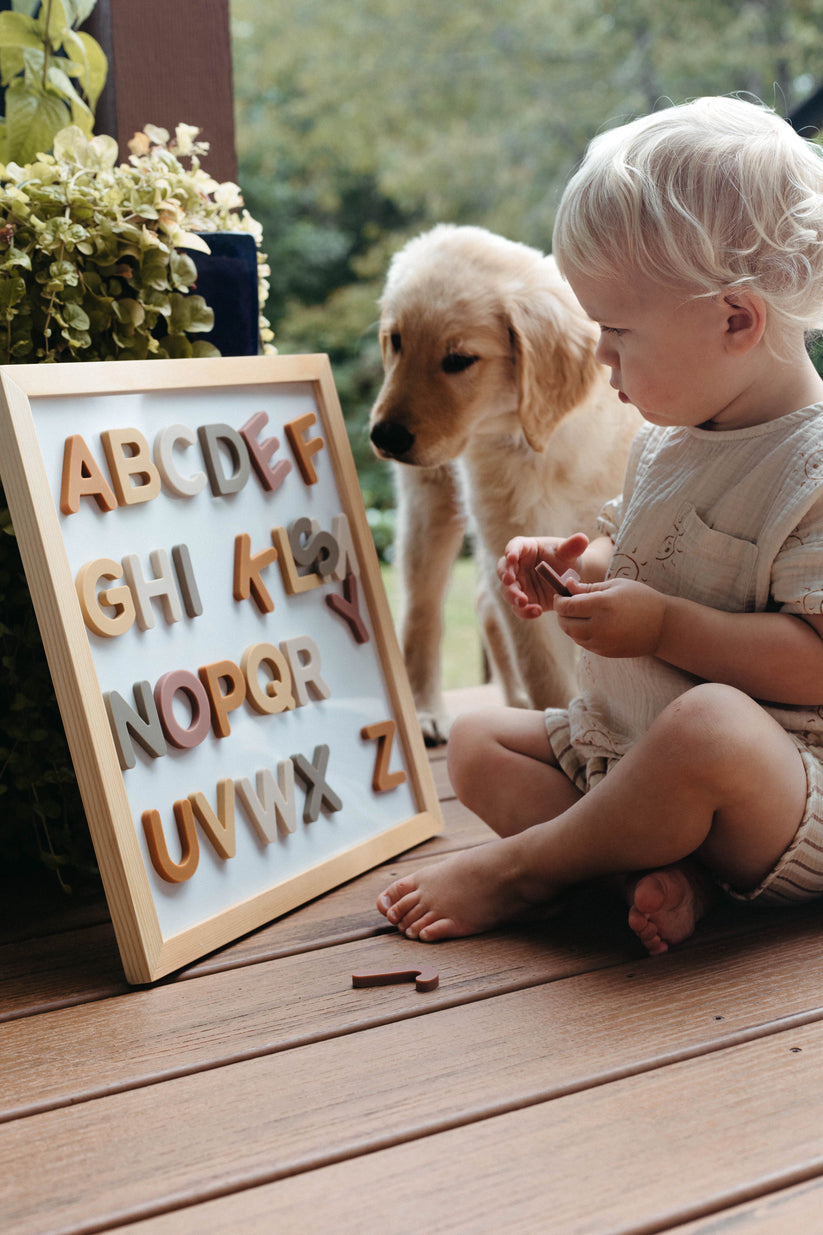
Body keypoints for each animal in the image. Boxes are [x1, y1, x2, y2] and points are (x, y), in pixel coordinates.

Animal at [368, 224, 637, 741]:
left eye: (459, 359)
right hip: (428, 499)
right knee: (423, 610)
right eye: (396, 341)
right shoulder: (506, 528)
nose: (384, 437)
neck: (545, 444)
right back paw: (428, 709)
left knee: (482, 605)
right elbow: (544, 665)